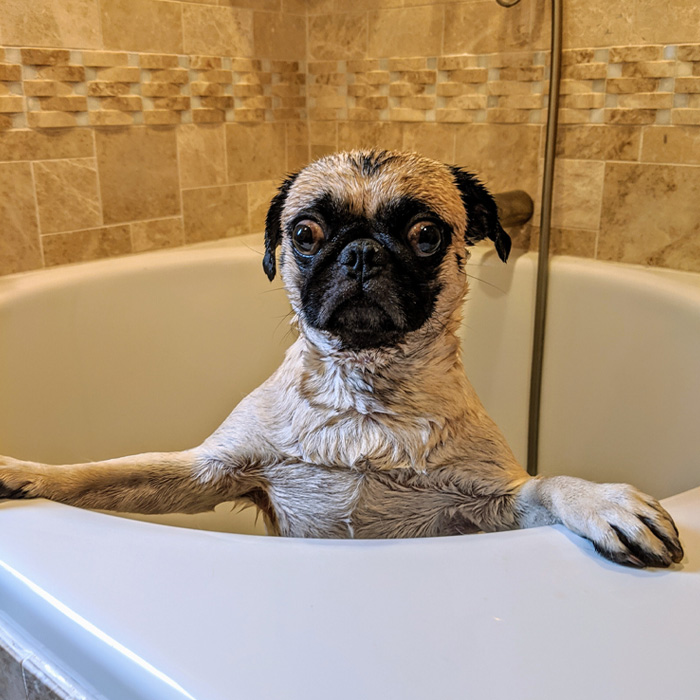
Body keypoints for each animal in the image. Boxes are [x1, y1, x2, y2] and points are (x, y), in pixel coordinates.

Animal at [0, 149, 684, 568]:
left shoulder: (494, 507)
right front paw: (25, 473)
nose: (361, 252)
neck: (362, 391)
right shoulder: (205, 473)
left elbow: (547, 484)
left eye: (425, 234)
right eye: (305, 234)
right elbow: (100, 473)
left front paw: (601, 501)